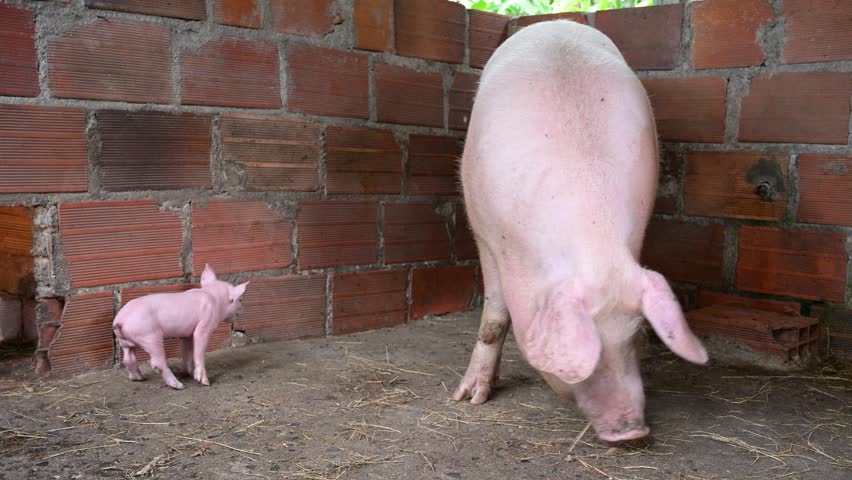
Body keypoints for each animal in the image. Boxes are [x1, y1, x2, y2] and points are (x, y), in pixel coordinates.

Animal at [113, 264, 248, 390]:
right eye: (240, 300)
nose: (242, 309)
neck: (214, 297)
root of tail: (120, 320)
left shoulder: (186, 333)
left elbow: (187, 351)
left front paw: (189, 373)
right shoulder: (205, 324)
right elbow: (198, 349)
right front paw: (204, 382)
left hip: (125, 341)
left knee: (128, 358)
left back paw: (139, 378)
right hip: (148, 336)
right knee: (157, 362)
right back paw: (179, 385)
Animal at [453, 20, 708, 443]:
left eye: (636, 336)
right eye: (588, 348)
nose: (631, 432)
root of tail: (555, 21)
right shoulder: (482, 230)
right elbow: (493, 321)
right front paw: (470, 399)